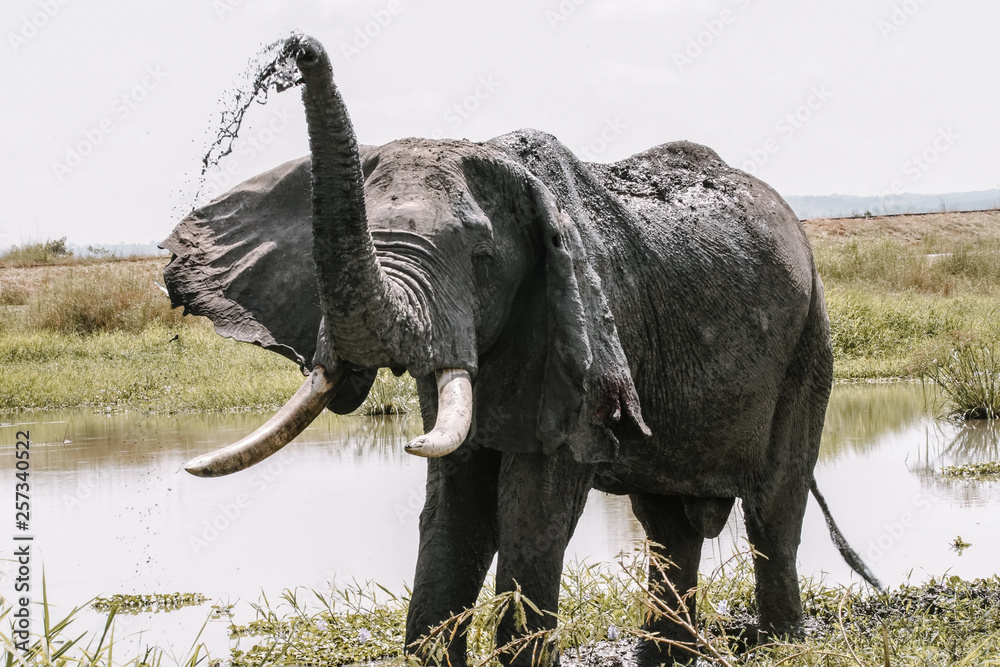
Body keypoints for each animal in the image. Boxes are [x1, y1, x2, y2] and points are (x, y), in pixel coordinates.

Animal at [163, 35, 878, 666]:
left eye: (481, 260)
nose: (297, 49)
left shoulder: (584, 335)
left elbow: (532, 512)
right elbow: (453, 506)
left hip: (808, 344)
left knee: (772, 510)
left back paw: (779, 645)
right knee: (666, 523)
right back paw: (665, 656)